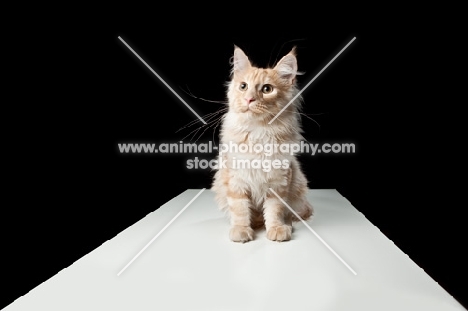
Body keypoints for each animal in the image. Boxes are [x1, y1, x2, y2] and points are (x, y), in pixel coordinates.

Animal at [212, 46, 314, 244]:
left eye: (267, 89)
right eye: (243, 86)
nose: (249, 99)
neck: (258, 132)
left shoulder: (278, 181)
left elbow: (275, 210)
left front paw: (276, 228)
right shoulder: (235, 180)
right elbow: (240, 209)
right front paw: (241, 230)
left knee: (291, 214)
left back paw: (286, 225)